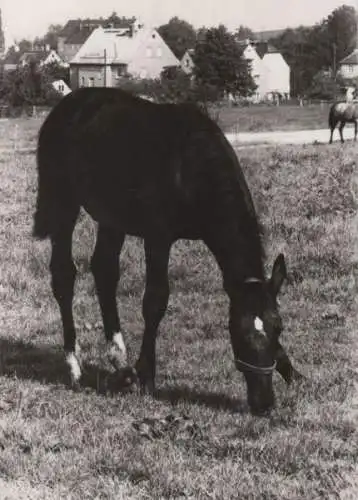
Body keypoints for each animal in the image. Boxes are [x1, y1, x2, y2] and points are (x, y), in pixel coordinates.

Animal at [34, 88, 302, 416]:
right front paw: (147, 376)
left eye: (279, 327)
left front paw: (292, 372)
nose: (263, 404)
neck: (190, 164)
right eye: (237, 332)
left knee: (104, 271)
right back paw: (75, 365)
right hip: (65, 203)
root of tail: (68, 105)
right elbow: (155, 300)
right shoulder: (158, 237)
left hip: (113, 217)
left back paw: (119, 362)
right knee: (63, 276)